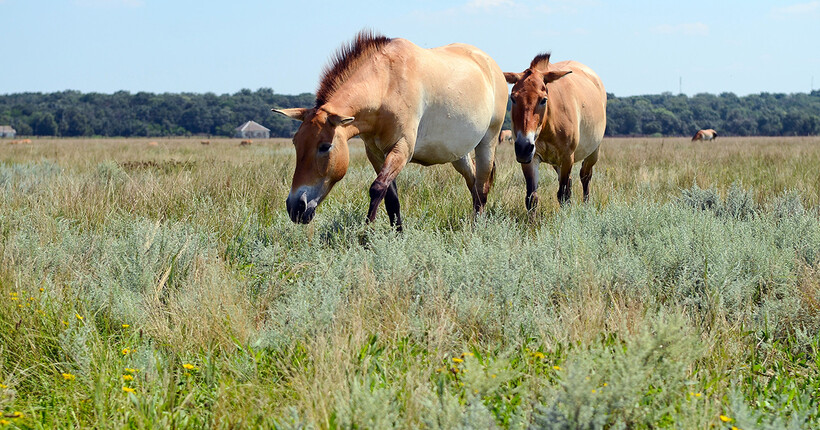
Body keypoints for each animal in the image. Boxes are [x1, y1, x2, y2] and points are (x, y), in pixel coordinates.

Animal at [272, 30, 510, 228]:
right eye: (296, 144)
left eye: (324, 147)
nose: (295, 207)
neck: (387, 86)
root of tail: (490, 65)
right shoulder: (376, 153)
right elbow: (391, 198)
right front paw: (397, 236)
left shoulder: (402, 149)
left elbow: (377, 188)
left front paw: (366, 236)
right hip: (459, 154)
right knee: (473, 184)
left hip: (487, 142)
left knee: (482, 187)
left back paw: (477, 230)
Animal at [502, 53, 604, 207]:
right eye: (513, 98)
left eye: (543, 100)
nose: (523, 147)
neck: (548, 127)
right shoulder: (531, 159)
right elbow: (532, 198)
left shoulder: (567, 157)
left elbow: (563, 195)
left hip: (593, 152)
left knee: (585, 176)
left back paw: (586, 206)